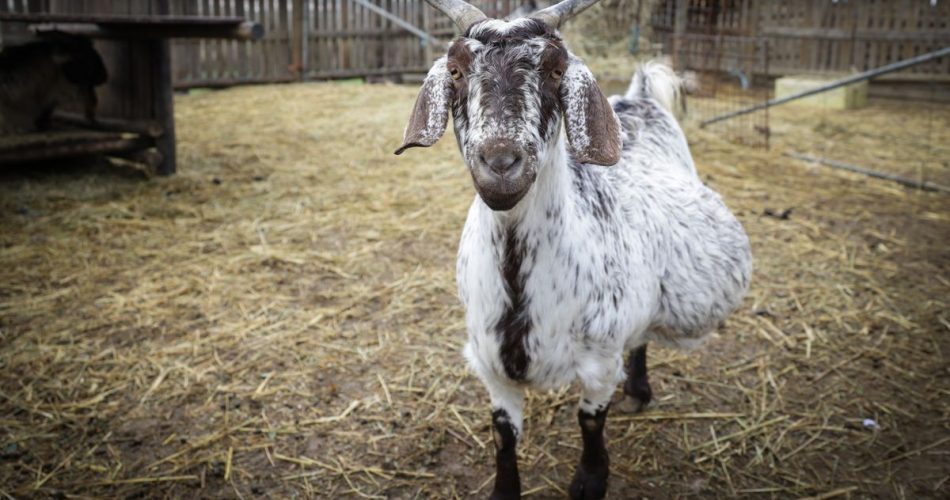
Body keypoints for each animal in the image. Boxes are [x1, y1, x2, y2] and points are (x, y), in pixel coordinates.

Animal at [395, 1, 752, 498]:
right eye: (456, 70)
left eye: (556, 69)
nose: (501, 162)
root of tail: (640, 98)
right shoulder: (490, 366)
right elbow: (504, 435)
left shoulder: (600, 359)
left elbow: (590, 420)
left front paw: (590, 479)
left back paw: (639, 391)